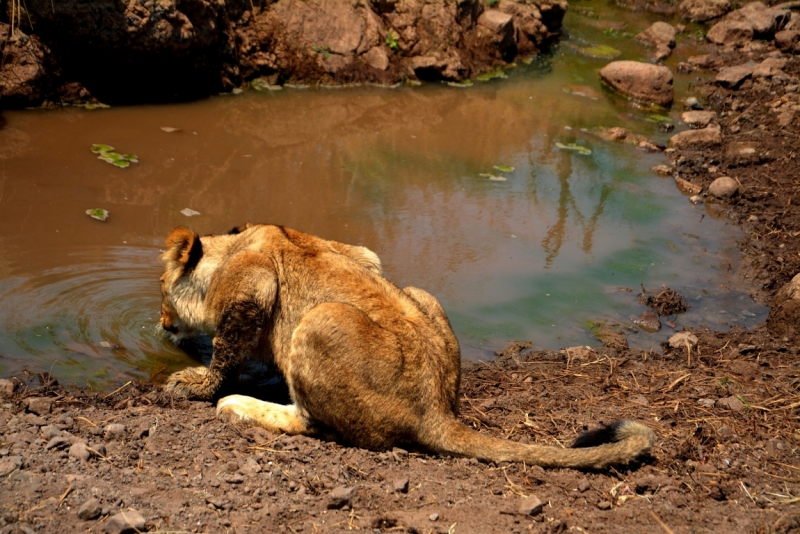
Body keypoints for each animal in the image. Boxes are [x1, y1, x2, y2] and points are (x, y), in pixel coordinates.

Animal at [159, 223, 652, 468]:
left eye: (162, 290)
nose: (161, 324)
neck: (233, 246)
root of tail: (434, 406)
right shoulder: (362, 254)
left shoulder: (253, 285)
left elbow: (224, 353)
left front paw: (197, 385)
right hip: (420, 294)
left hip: (320, 320)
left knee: (315, 425)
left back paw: (239, 405)